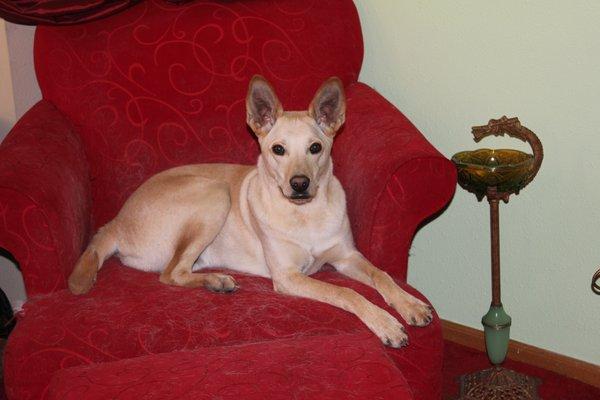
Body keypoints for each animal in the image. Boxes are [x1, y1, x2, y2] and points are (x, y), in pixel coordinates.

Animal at [69, 76, 432, 346]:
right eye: (278, 150)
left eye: (315, 148)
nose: (299, 184)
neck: (306, 214)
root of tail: (114, 223)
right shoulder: (288, 276)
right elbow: (346, 292)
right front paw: (385, 323)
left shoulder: (345, 257)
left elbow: (380, 274)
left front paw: (409, 303)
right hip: (213, 194)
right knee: (170, 273)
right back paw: (217, 280)